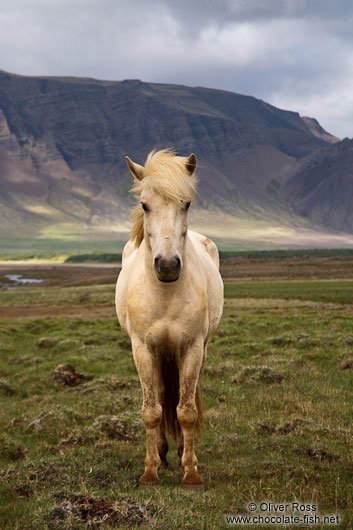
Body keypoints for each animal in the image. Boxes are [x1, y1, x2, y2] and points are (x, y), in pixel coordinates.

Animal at [114, 148, 221, 486]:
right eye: (144, 205)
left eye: (186, 204)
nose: (168, 265)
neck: (165, 294)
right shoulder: (142, 349)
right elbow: (152, 410)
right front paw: (150, 471)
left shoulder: (193, 348)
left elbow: (186, 410)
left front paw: (191, 472)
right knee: (160, 396)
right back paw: (161, 453)